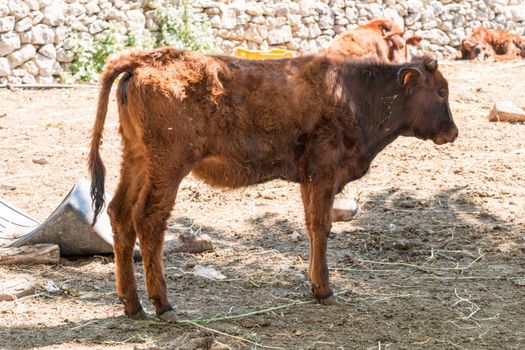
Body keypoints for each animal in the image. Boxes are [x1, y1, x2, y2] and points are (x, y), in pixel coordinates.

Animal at [88, 47, 456, 322]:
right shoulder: (324, 170)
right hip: (168, 167)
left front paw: (314, 285)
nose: (452, 132)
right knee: (149, 221)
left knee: (120, 214)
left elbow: (311, 227)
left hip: (137, 159)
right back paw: (163, 305)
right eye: (441, 92)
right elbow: (321, 226)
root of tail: (146, 59)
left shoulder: (310, 178)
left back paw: (132, 305)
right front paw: (325, 289)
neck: (354, 93)